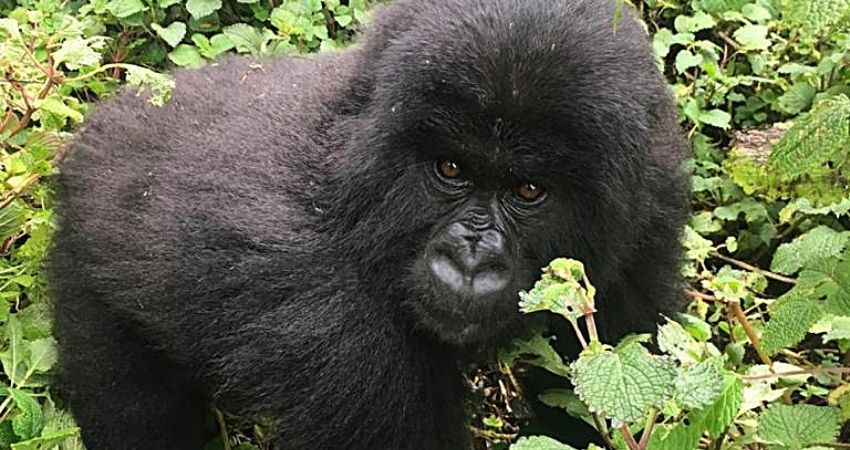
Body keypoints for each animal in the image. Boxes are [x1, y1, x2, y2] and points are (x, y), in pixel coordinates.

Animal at [48, 0, 688, 448]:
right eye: (451, 168)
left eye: (528, 190)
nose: (470, 257)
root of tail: (108, 118)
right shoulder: (337, 322)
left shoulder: (648, 205)